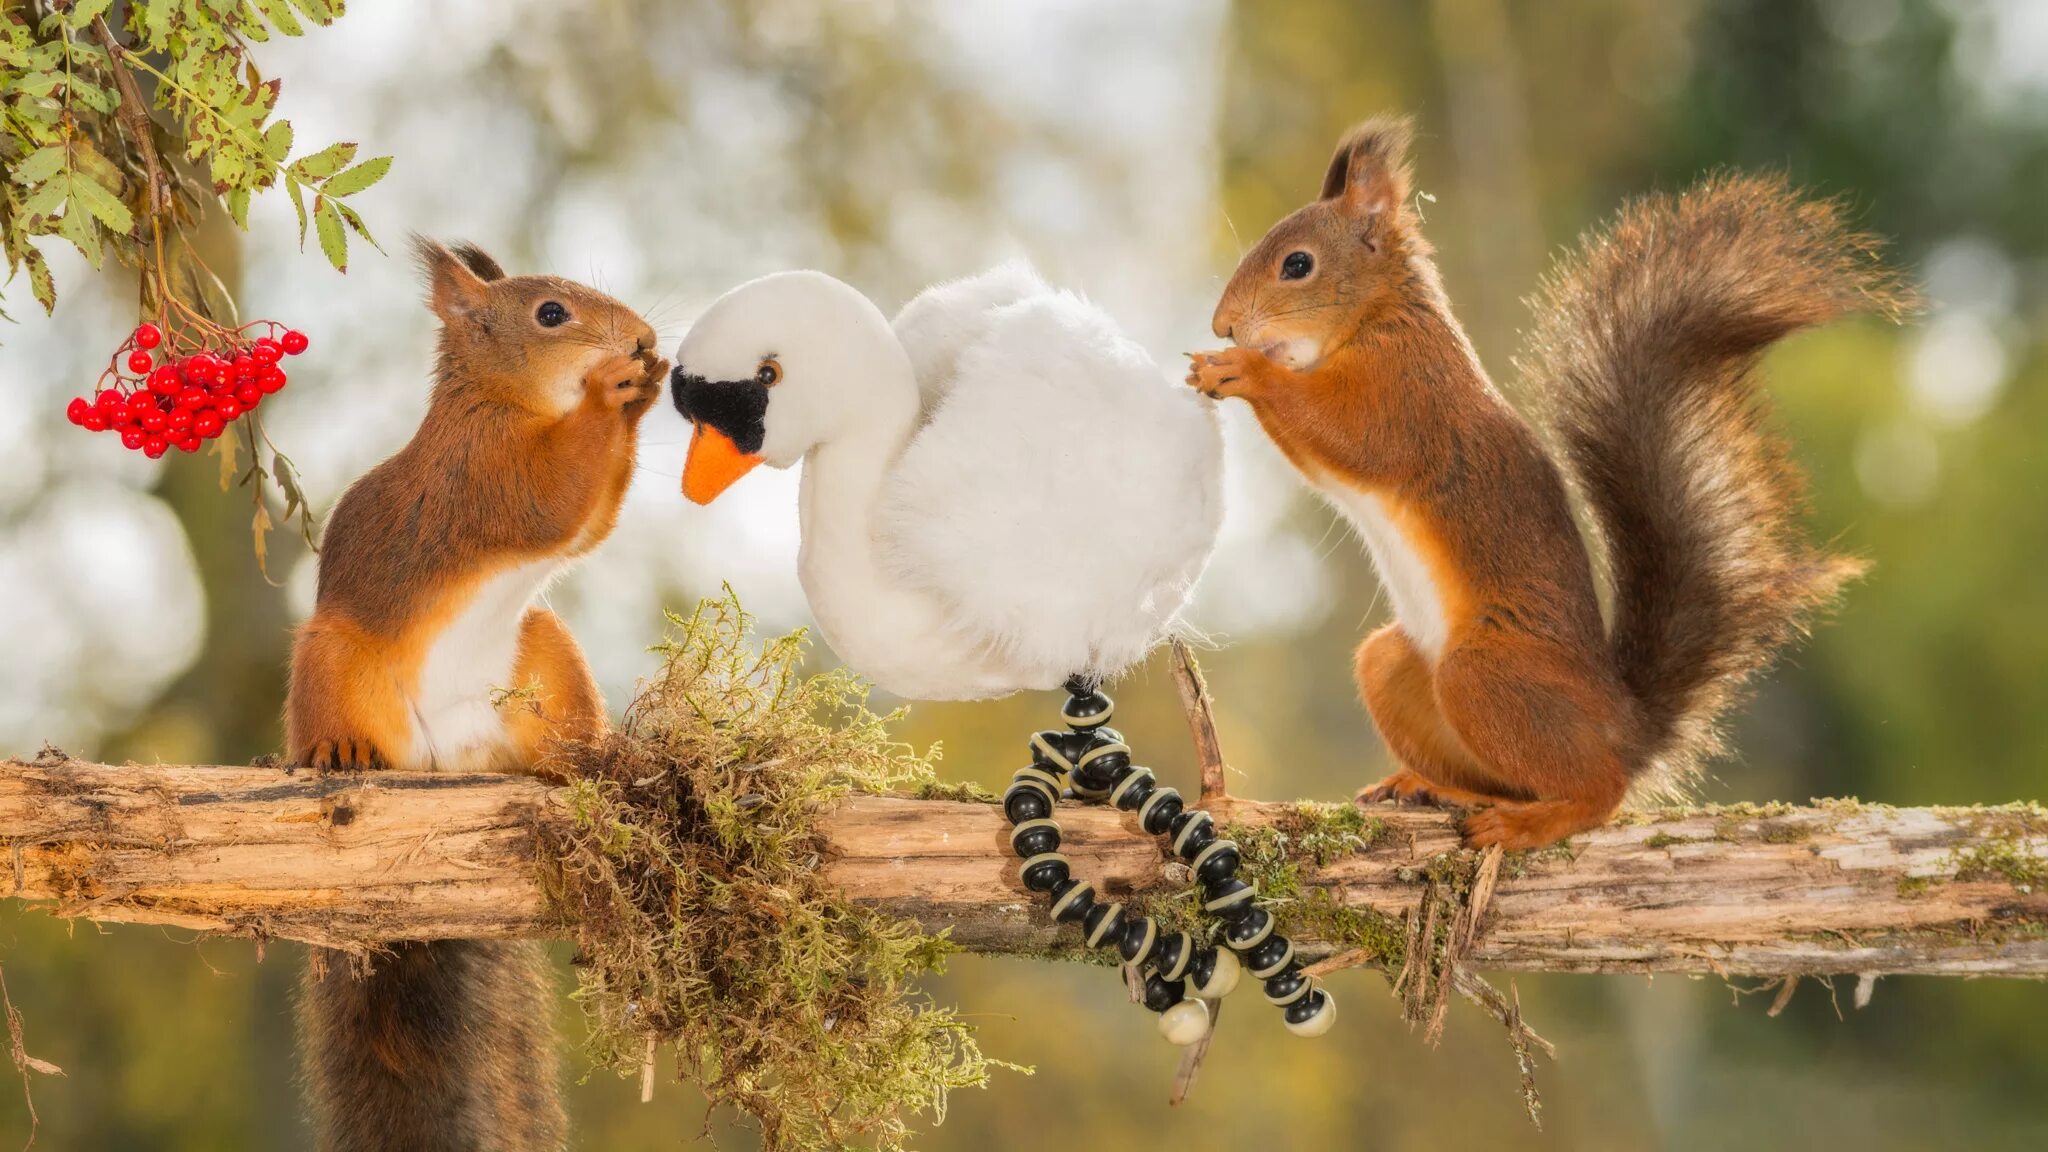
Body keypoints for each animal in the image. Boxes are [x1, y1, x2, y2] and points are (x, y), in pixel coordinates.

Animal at [280, 237, 659, 1139]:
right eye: (551, 313)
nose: (641, 337)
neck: (503, 401)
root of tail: (443, 763)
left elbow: (588, 522)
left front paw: (647, 387)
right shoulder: (481, 474)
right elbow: (552, 501)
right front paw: (614, 391)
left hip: (543, 657)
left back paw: (593, 756)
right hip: (334, 661)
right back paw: (337, 750)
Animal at [1187, 116, 1900, 848]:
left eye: (1297, 264)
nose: (1223, 325)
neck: (1381, 314)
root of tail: (1622, 726)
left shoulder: (1407, 393)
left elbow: (1347, 435)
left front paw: (1241, 369)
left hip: (1485, 676)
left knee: (1598, 791)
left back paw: (1526, 823)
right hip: (1393, 667)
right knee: (1503, 774)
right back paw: (1429, 785)